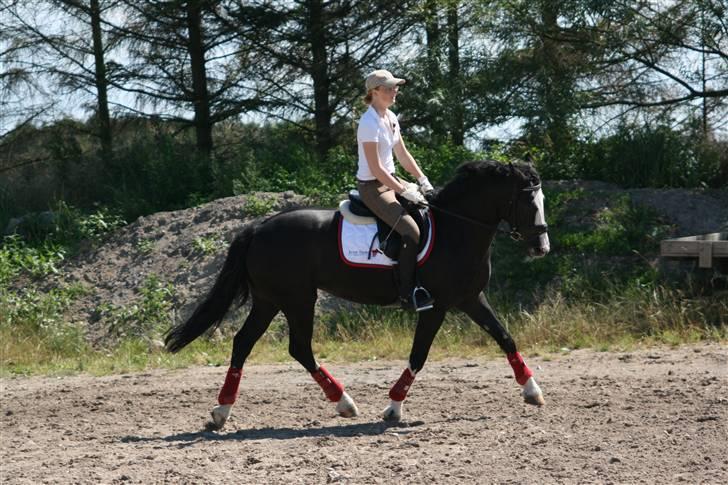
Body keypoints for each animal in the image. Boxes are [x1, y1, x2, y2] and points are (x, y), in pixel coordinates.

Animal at [164, 159, 550, 429]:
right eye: (528, 202)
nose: (541, 247)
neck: (456, 229)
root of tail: (258, 226)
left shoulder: (471, 299)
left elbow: (505, 337)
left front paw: (532, 392)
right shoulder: (435, 306)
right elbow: (419, 355)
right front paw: (393, 408)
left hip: (269, 300)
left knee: (244, 343)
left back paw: (221, 412)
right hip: (297, 298)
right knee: (298, 347)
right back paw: (344, 402)